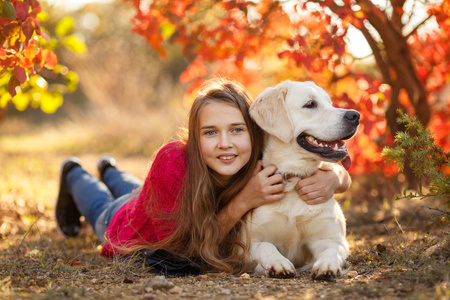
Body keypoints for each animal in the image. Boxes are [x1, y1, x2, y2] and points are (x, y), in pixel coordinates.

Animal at [244, 81, 360, 280]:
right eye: (310, 104)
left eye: (329, 102)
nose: (355, 115)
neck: (293, 177)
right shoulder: (245, 243)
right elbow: (266, 246)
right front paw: (278, 263)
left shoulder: (331, 238)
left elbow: (331, 250)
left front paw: (326, 266)